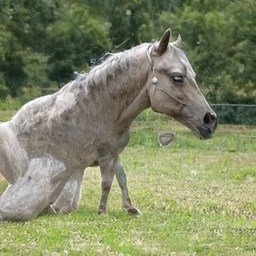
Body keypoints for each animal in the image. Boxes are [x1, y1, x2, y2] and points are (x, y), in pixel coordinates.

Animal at [0, 29, 216, 221]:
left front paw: (130, 208)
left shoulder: (115, 154)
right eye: (177, 77)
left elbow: (122, 178)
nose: (210, 120)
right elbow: (107, 182)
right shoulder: (104, 155)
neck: (97, 110)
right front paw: (102, 211)